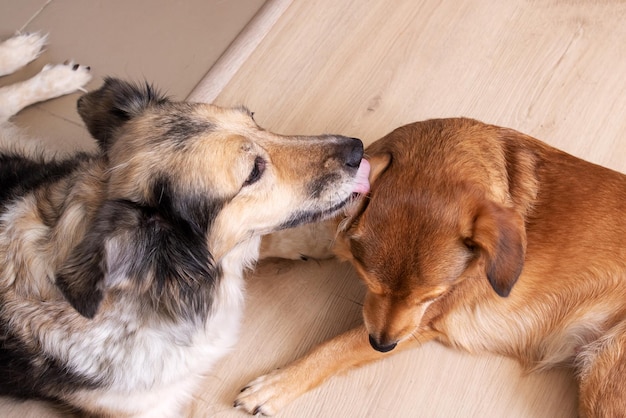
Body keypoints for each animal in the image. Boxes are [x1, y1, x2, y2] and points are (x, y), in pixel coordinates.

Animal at [0, 34, 368, 416]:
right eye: (253, 171)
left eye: (253, 118)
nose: (358, 149)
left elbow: (263, 238)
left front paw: (326, 241)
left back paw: (41, 63)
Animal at [233, 117, 624, 418]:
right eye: (368, 281)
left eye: (432, 295)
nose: (383, 346)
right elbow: (268, 235)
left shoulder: (422, 324)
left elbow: (335, 347)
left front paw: (275, 386)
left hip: (603, 376)